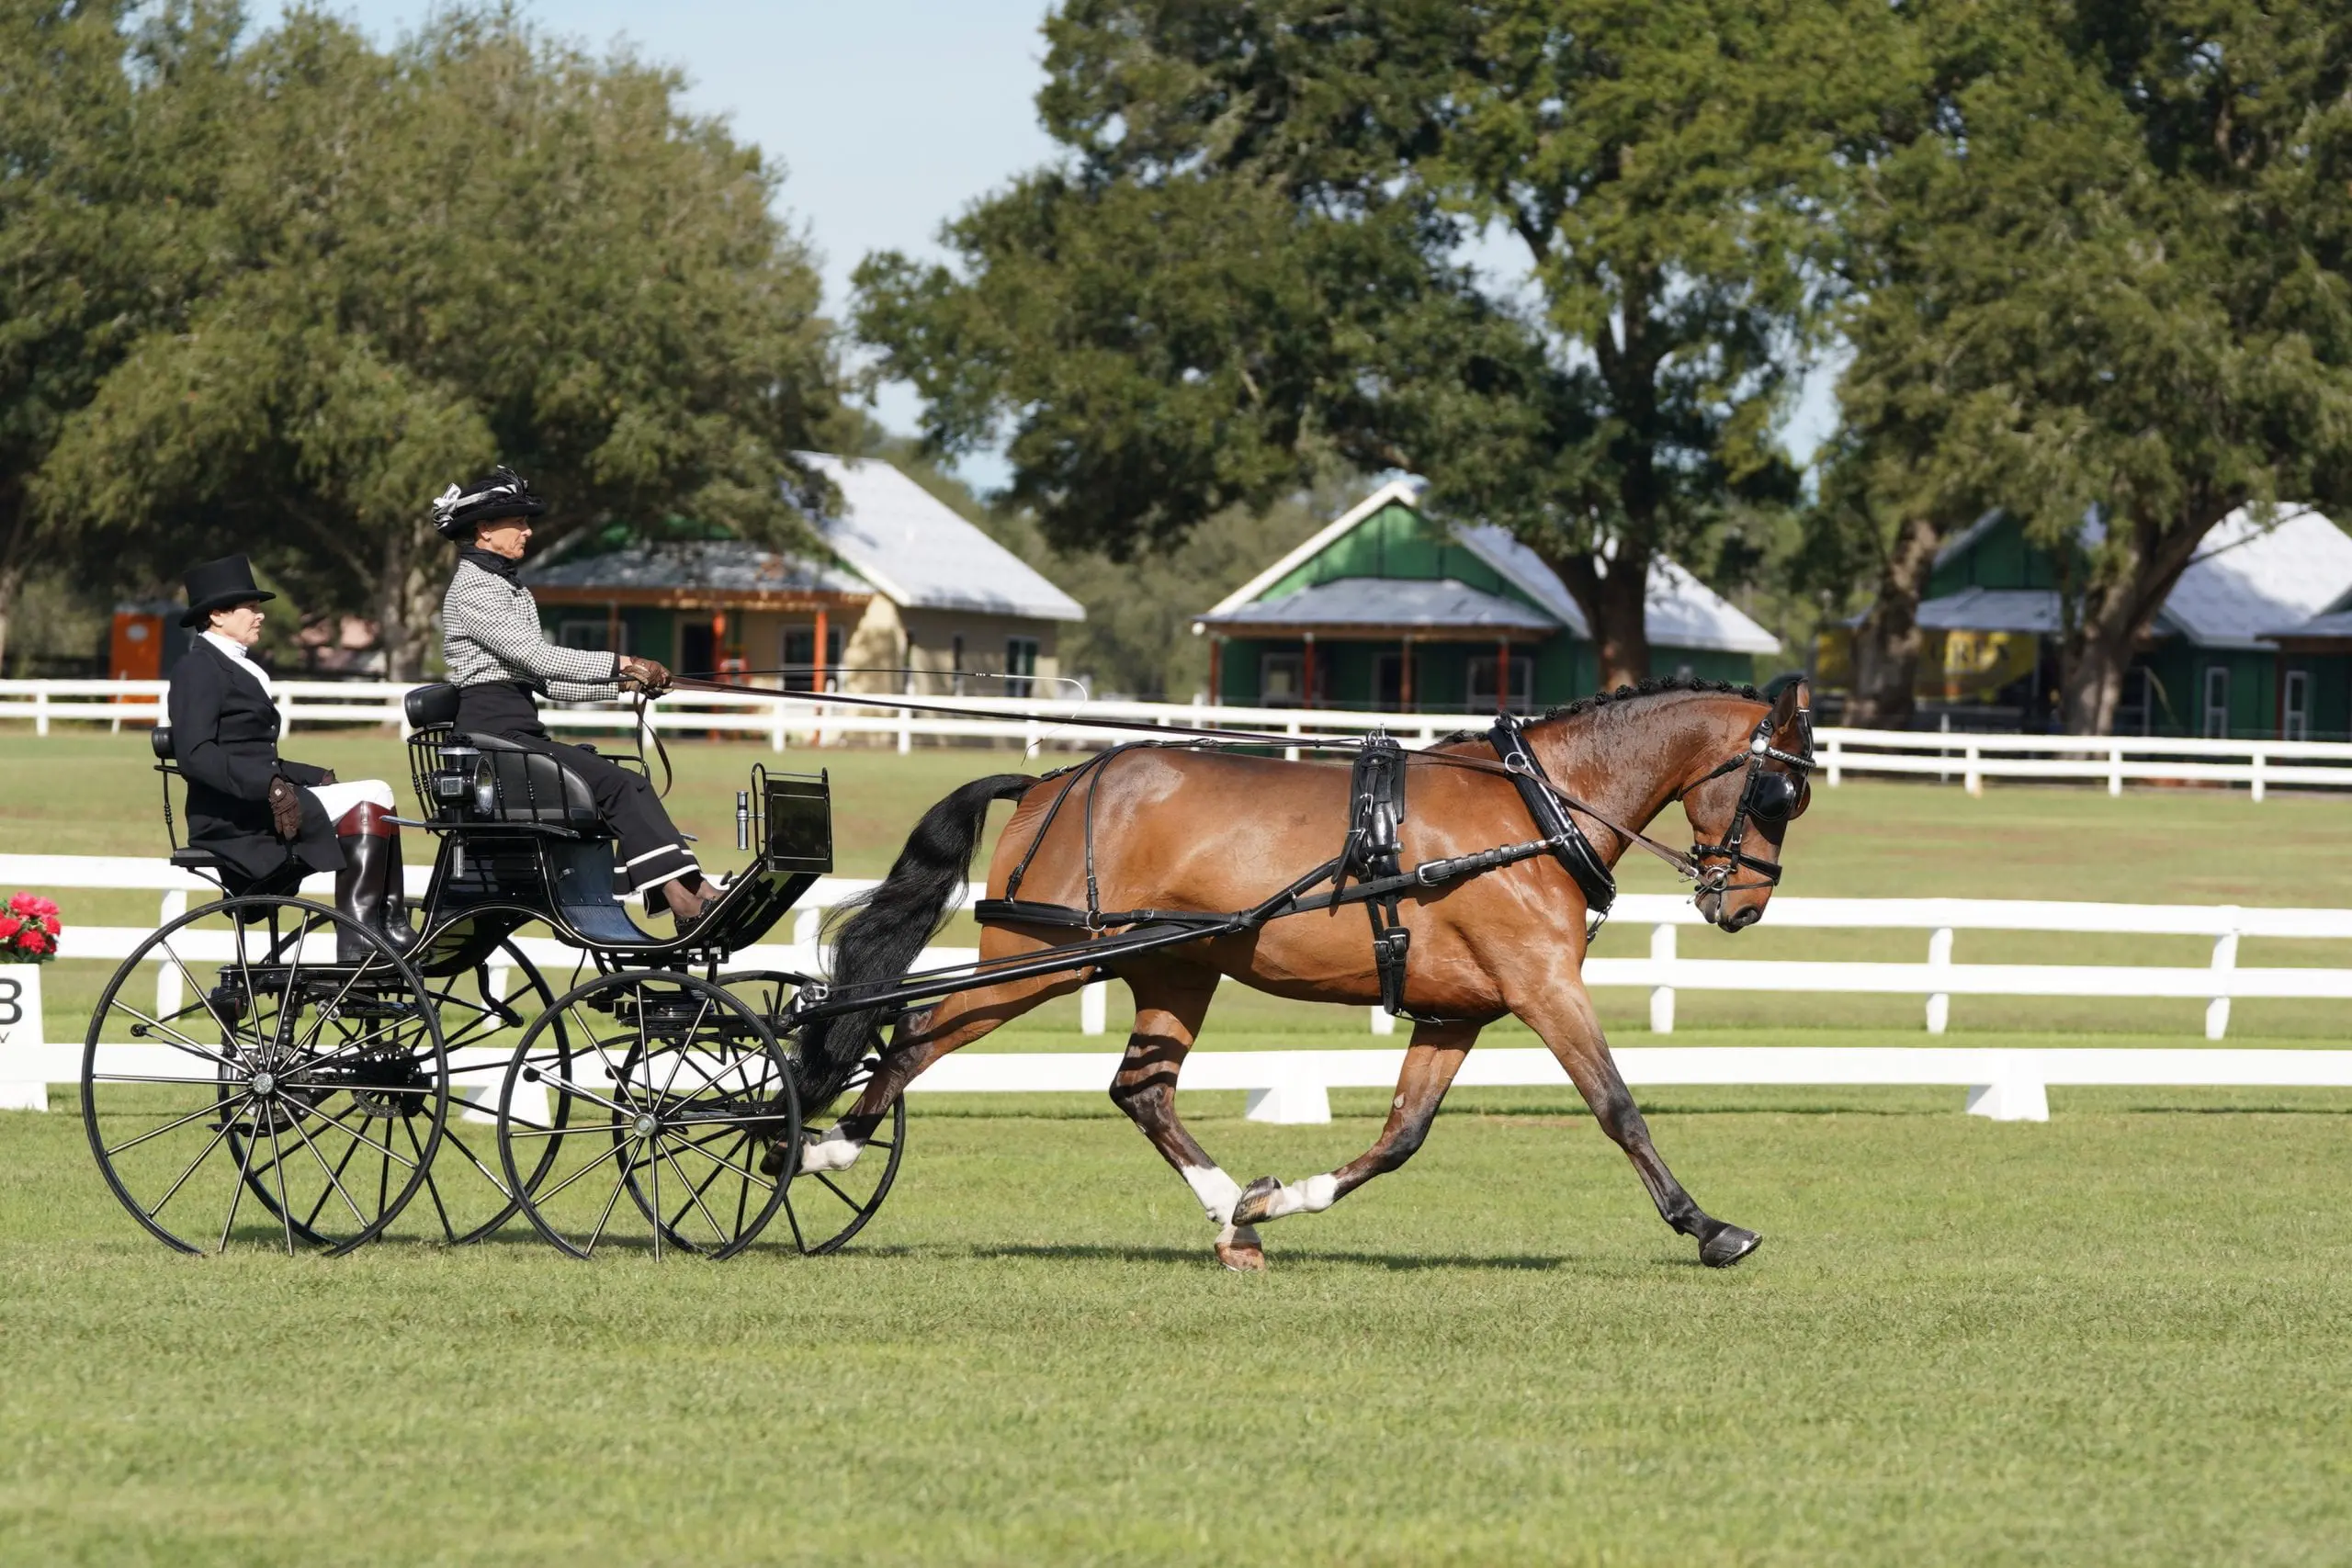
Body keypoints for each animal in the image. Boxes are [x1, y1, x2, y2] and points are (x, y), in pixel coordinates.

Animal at [792, 675, 1814, 1272]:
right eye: (1778, 791)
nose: (1745, 904)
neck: (1533, 810)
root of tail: (1054, 780)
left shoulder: (1457, 1013)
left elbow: (1402, 1135)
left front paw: (1281, 1198)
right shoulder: (1541, 986)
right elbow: (1617, 1106)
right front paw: (1709, 1228)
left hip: (1173, 969)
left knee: (1141, 1089)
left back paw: (1232, 1218)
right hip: (1036, 959)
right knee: (915, 1030)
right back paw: (818, 1145)